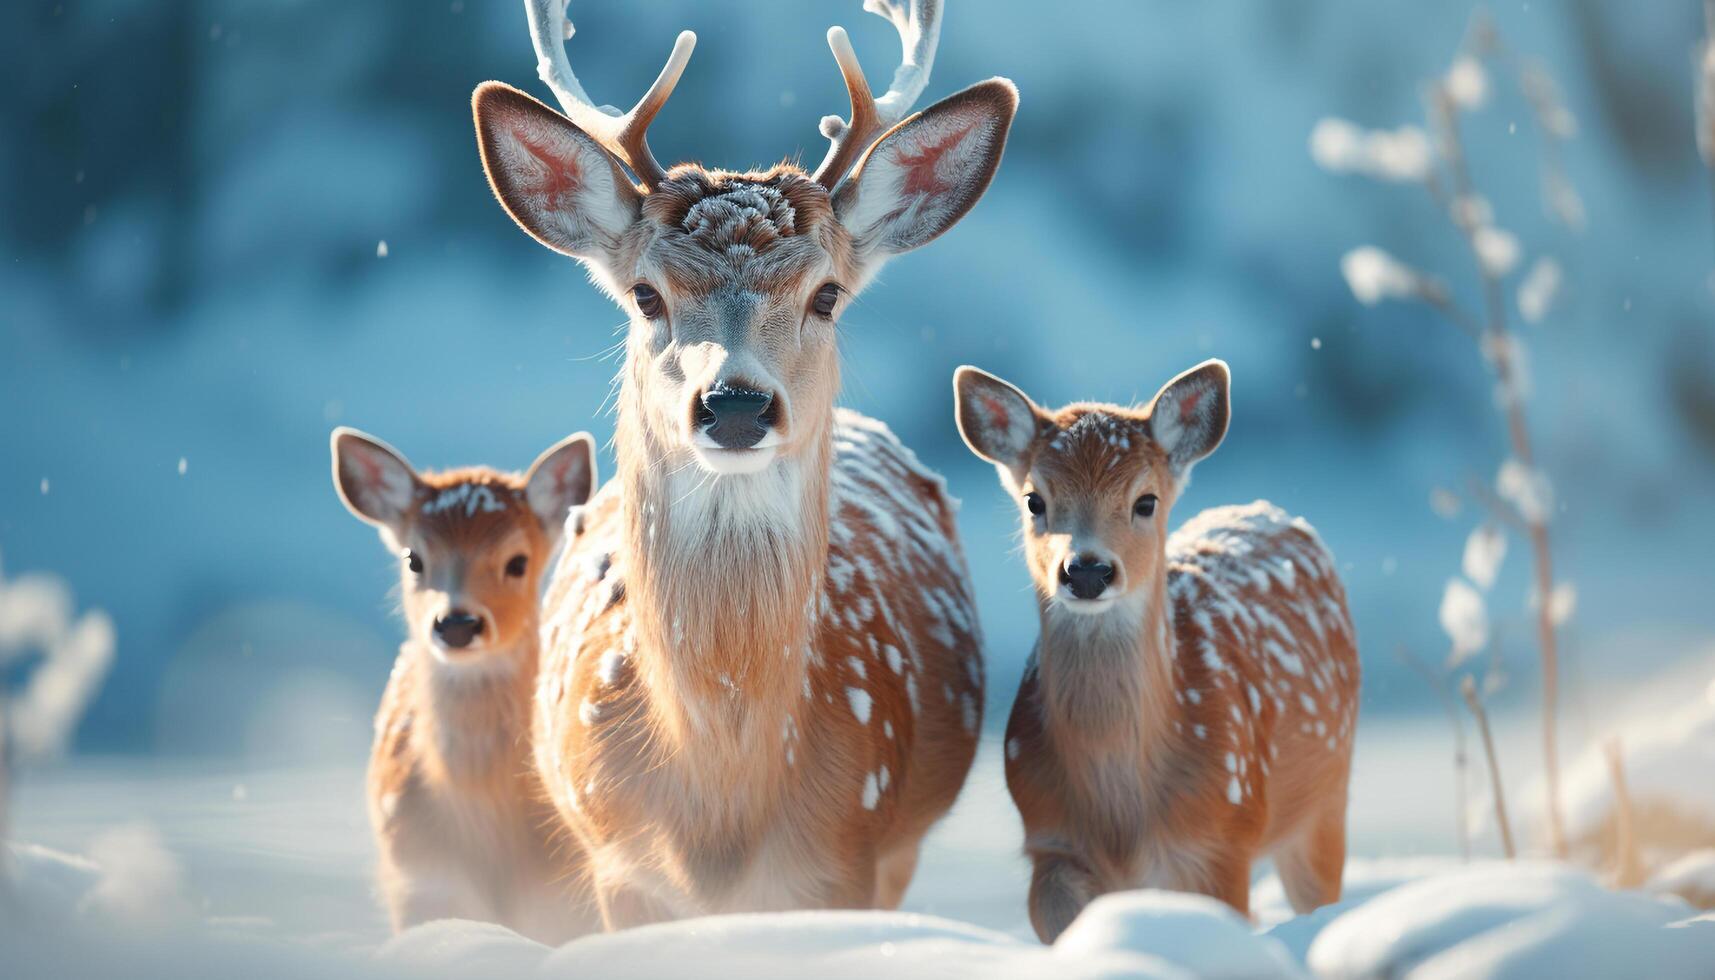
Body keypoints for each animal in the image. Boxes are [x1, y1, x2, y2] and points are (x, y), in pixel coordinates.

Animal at [469, 0, 1008, 926]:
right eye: (645, 294)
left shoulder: (845, 860)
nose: (734, 404)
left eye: (825, 294)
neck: (722, 802)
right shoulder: (618, 867)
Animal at [960, 362, 1358, 940]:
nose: (1086, 571)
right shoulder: (1051, 842)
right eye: (1035, 500)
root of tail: (1264, 509)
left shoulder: (1221, 838)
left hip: (1327, 801)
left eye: (1145, 501)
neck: (1122, 818)